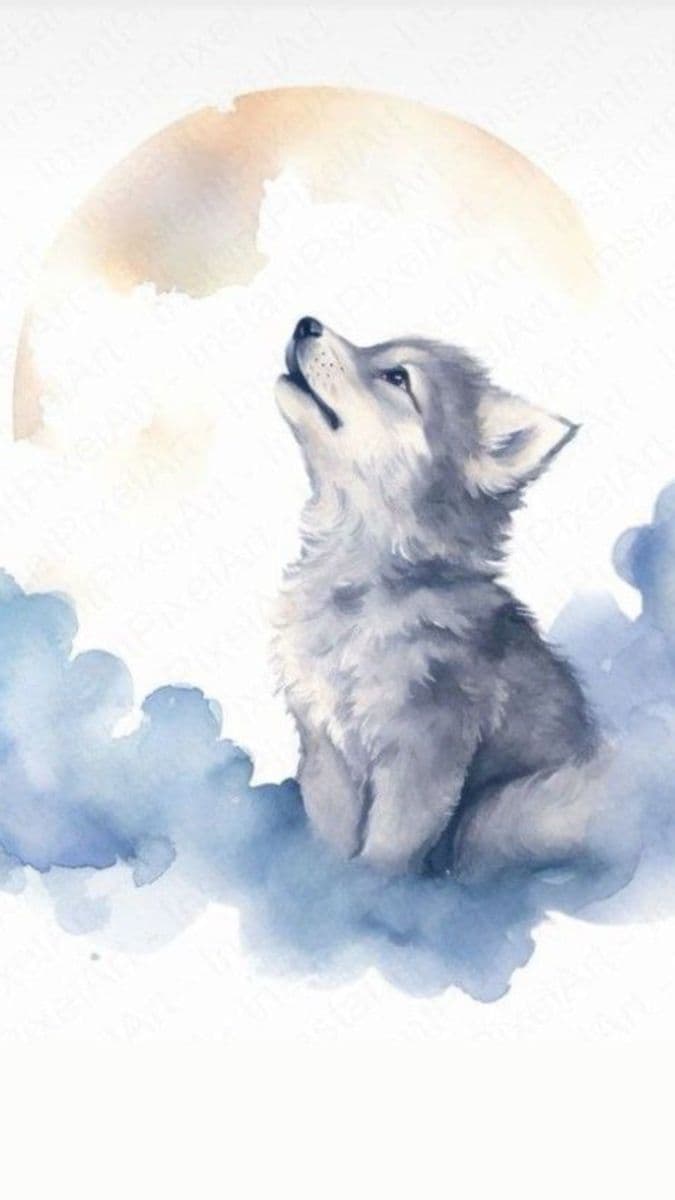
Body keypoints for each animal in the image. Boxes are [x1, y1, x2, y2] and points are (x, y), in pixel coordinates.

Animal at [273, 317, 600, 878]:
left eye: (397, 377)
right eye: (375, 348)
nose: (305, 323)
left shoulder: (425, 753)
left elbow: (386, 849)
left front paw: (363, 891)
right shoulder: (326, 748)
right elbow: (333, 834)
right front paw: (324, 879)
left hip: (503, 811)